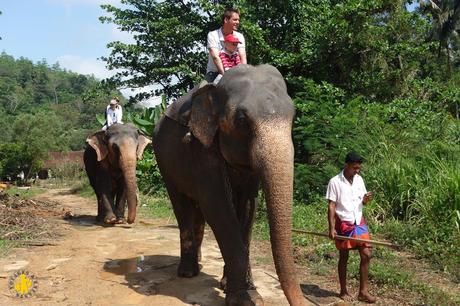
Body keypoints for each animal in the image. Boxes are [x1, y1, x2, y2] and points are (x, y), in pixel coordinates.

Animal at [153, 63, 308, 304]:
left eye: (293, 115)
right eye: (242, 120)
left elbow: (248, 207)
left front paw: (247, 291)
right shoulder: (201, 147)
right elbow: (217, 206)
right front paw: (243, 299)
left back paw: (198, 264)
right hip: (163, 159)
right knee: (182, 205)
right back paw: (188, 272)